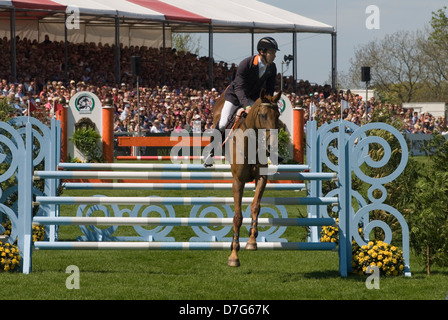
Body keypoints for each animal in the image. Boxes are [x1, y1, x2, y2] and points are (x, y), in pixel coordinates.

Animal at [209, 89, 280, 266]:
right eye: (263, 115)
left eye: (278, 115)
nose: (272, 147)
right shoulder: (238, 182)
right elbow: (237, 217)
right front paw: (234, 255)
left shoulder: (262, 178)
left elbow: (256, 206)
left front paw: (252, 240)